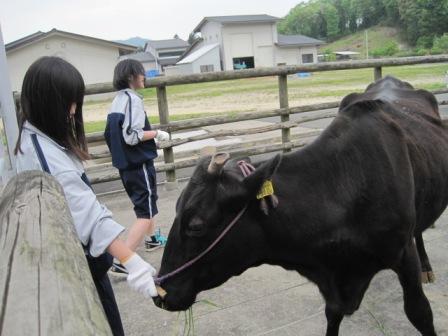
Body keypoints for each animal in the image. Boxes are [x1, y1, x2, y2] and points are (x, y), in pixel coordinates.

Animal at [155, 77, 448, 336]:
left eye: (195, 225)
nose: (159, 294)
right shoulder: (334, 288)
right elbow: (332, 316)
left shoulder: (402, 253)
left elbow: (420, 313)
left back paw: (427, 268)